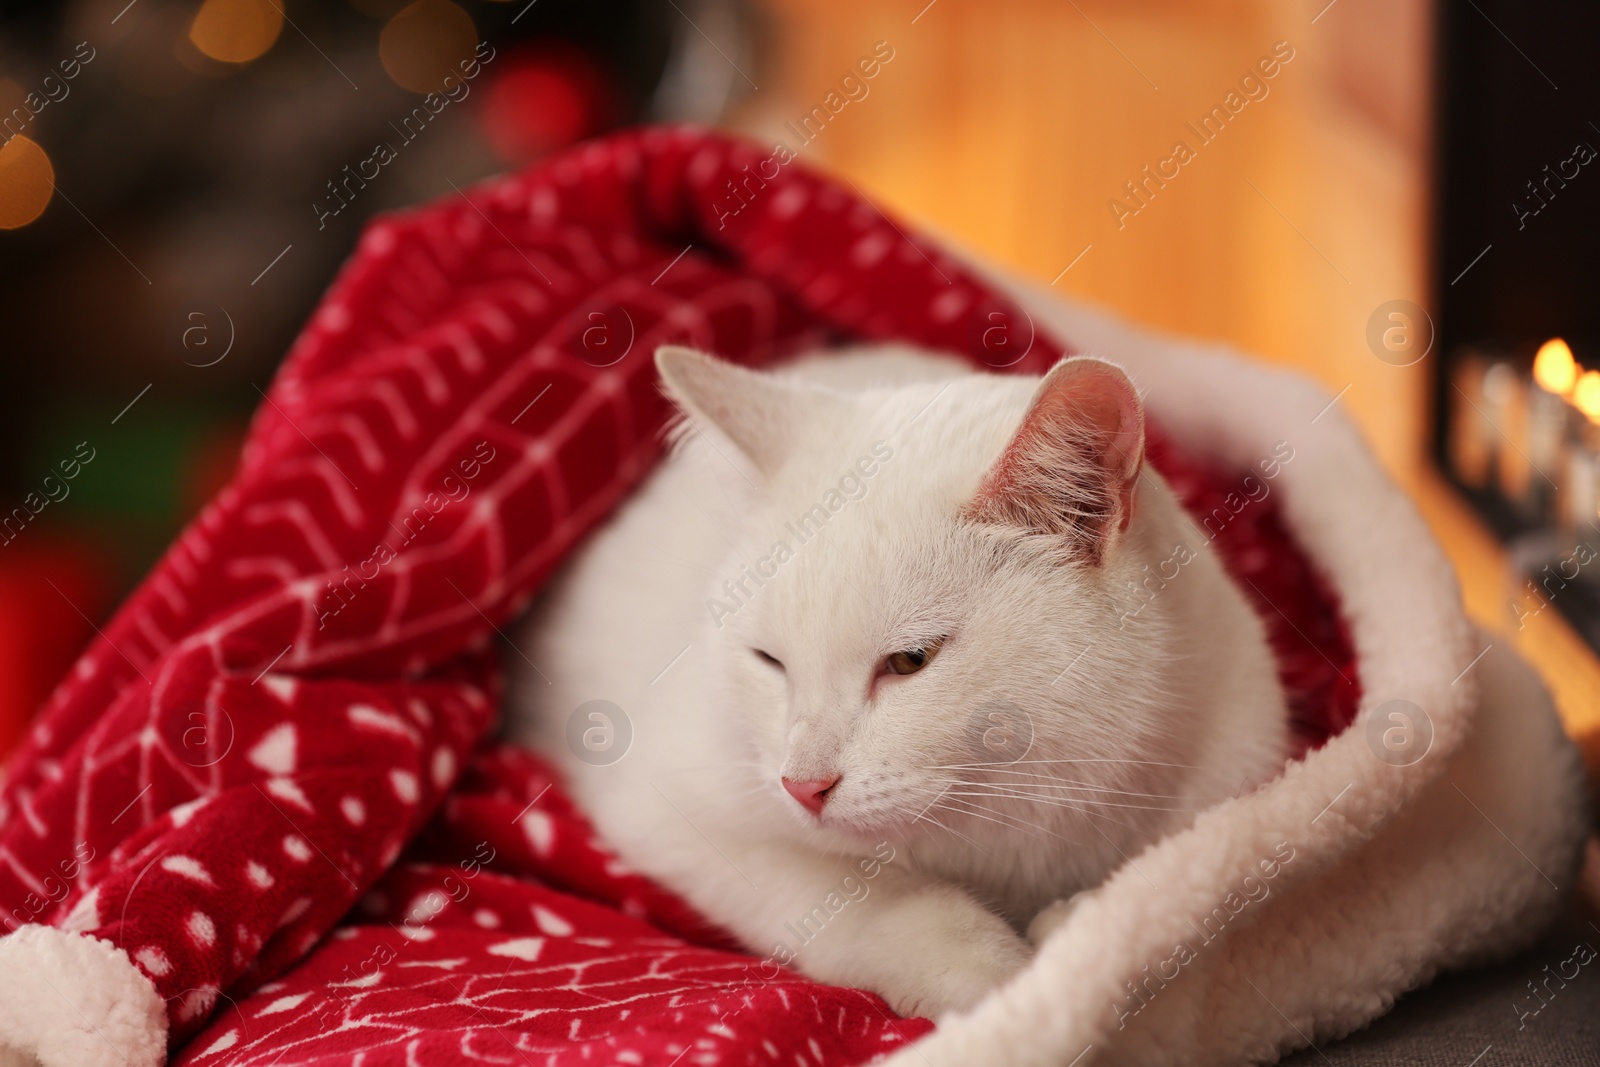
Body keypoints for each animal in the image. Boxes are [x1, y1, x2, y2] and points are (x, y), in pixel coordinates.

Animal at [512, 347, 1286, 1023]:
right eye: (768, 661)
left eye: (911, 661)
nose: (803, 785)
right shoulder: (671, 809)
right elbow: (871, 898)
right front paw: (1005, 980)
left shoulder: (1231, 787)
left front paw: (1086, 932)